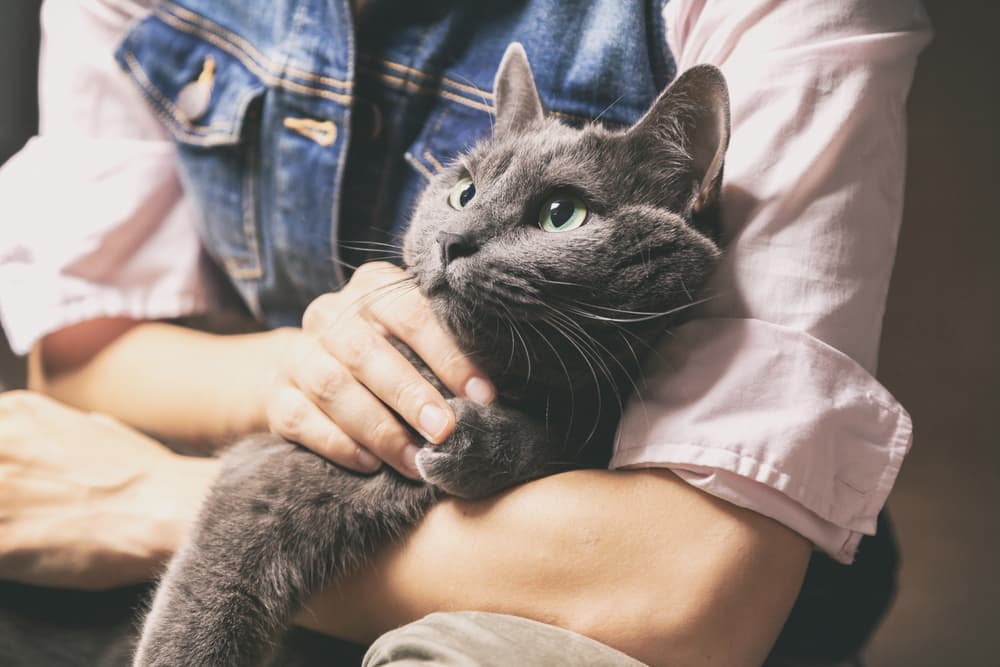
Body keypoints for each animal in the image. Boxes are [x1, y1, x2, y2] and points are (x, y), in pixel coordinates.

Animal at [131, 43, 728, 667]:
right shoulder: (270, 468)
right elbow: (208, 596)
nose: (452, 240)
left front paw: (469, 442)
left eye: (562, 213)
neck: (509, 379)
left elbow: (560, 441)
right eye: (463, 192)